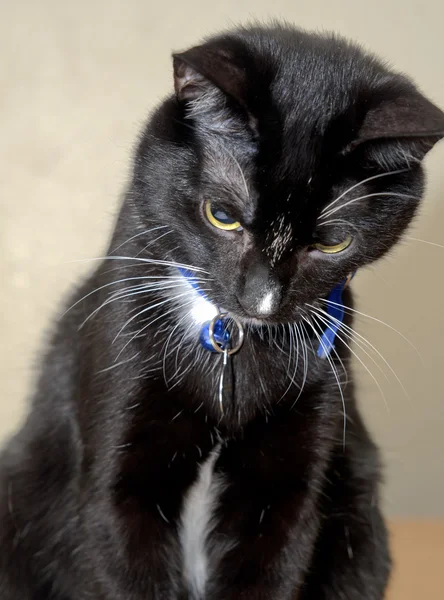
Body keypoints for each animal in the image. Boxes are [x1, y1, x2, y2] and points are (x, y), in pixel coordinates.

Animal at [0, 23, 444, 600]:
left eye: (332, 242)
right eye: (222, 215)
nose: (262, 301)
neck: (228, 336)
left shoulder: (288, 484)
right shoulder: (118, 456)